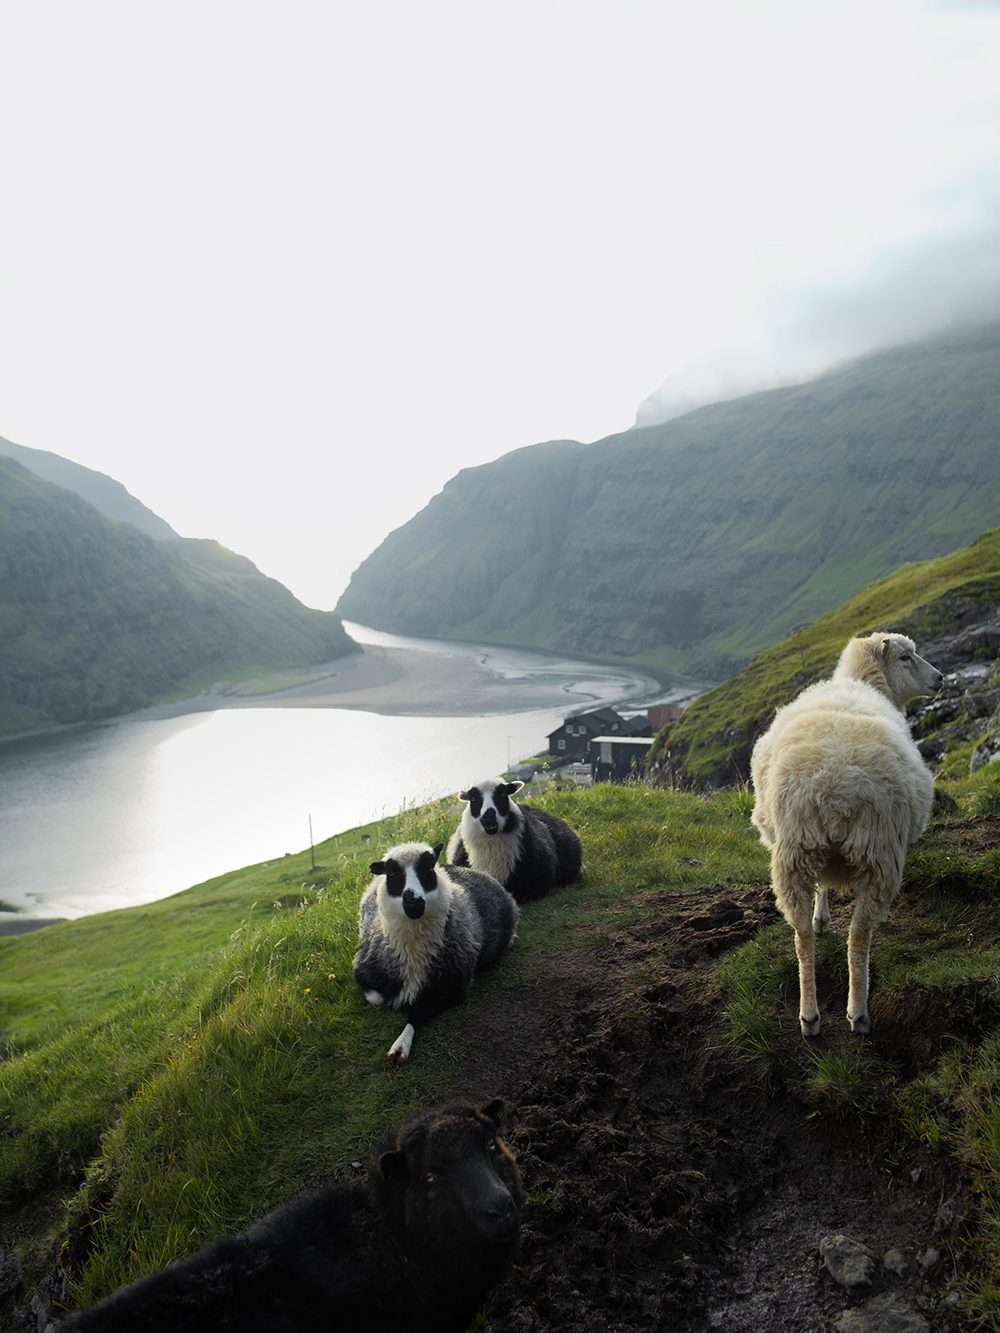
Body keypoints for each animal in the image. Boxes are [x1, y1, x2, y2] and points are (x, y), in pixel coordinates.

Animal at [352, 842, 520, 1061]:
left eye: (429, 867)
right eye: (391, 872)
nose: (413, 900)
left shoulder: (451, 989)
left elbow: (417, 1013)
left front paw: (401, 1045)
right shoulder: (363, 972)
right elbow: (376, 998)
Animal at [752, 629, 949, 1034]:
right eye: (906, 657)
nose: (939, 679)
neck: (863, 682)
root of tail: (834, 790)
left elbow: (823, 887)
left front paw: (821, 917)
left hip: (794, 852)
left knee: (801, 938)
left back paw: (809, 1015)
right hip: (879, 854)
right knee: (859, 936)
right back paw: (858, 1011)